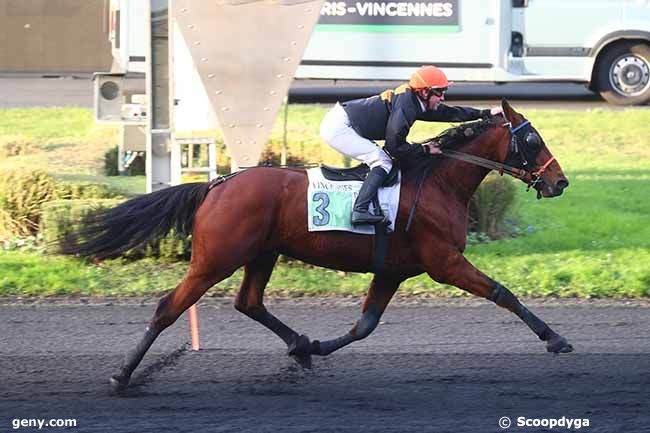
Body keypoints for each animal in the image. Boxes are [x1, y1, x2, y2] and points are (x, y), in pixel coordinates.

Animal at [58, 99, 568, 390]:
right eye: (532, 139)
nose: (559, 182)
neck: (437, 182)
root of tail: (217, 185)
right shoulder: (443, 261)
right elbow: (503, 293)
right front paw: (555, 338)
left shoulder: (392, 269)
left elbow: (364, 326)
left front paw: (318, 346)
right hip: (215, 259)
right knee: (170, 306)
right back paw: (123, 375)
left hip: (262, 253)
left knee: (249, 302)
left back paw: (299, 345)